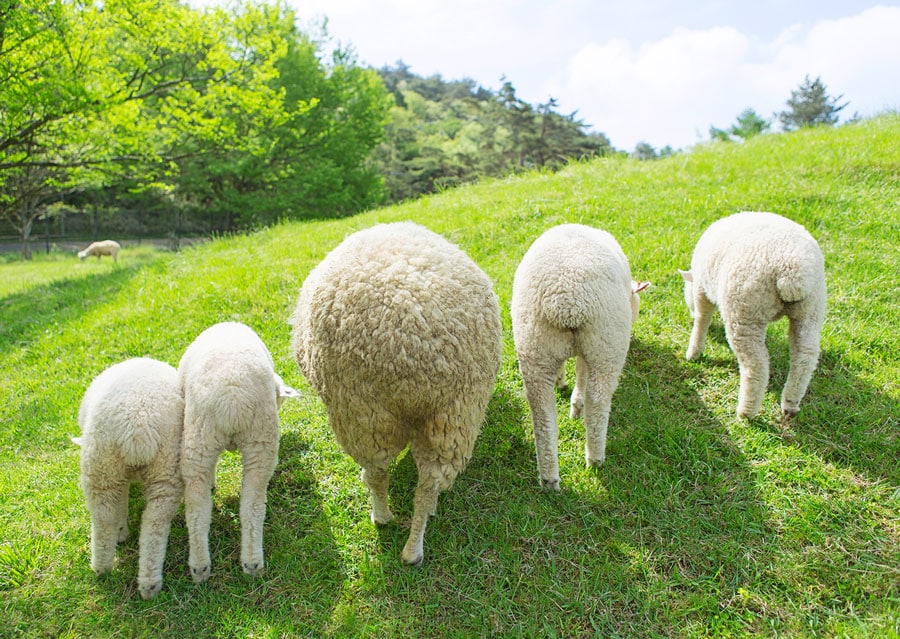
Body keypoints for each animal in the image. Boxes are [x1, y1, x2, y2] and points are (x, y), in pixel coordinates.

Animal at [74, 358, 186, 604]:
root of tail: (138, 427)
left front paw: (122, 531)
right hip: (151, 469)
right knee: (146, 525)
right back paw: (140, 581)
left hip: (103, 469)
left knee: (110, 522)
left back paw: (108, 570)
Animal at [177, 324, 298, 584]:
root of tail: (232, 401)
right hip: (257, 438)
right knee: (250, 505)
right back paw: (247, 563)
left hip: (200, 438)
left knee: (199, 505)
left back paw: (203, 566)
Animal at [290, 222, 502, 568]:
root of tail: (407, 339)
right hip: (449, 413)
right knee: (423, 483)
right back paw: (409, 541)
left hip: (370, 415)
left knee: (383, 475)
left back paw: (390, 525)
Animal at [510, 222, 652, 492]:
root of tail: (566, 300)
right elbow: (582, 375)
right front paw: (577, 406)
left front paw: (564, 386)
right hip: (606, 343)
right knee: (597, 400)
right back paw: (595, 459)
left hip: (534, 346)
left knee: (542, 413)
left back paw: (549, 479)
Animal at [680, 210, 828, 420]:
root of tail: (792, 271)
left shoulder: (702, 289)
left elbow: (702, 319)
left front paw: (693, 353)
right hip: (811, 309)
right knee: (805, 355)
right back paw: (790, 403)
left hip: (745, 311)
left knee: (755, 365)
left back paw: (746, 412)